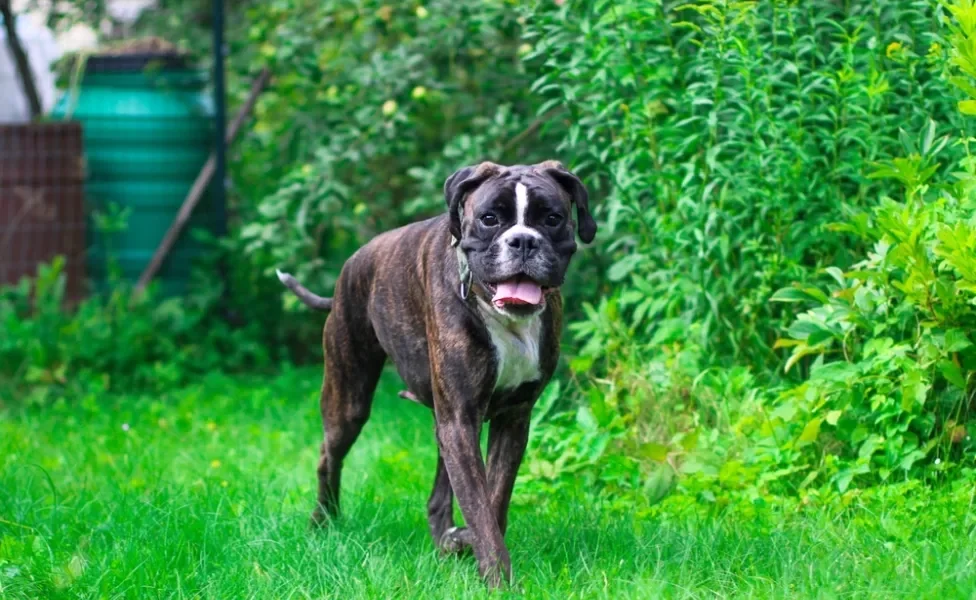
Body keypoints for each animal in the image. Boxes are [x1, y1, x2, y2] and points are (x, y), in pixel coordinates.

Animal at [274, 159, 596, 584]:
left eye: (553, 218)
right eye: (490, 218)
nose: (524, 241)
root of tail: (349, 268)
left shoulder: (510, 419)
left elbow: (492, 498)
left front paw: (471, 548)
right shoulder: (460, 420)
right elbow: (479, 505)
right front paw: (497, 578)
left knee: (438, 493)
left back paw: (446, 539)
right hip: (349, 401)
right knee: (329, 457)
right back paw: (323, 523)